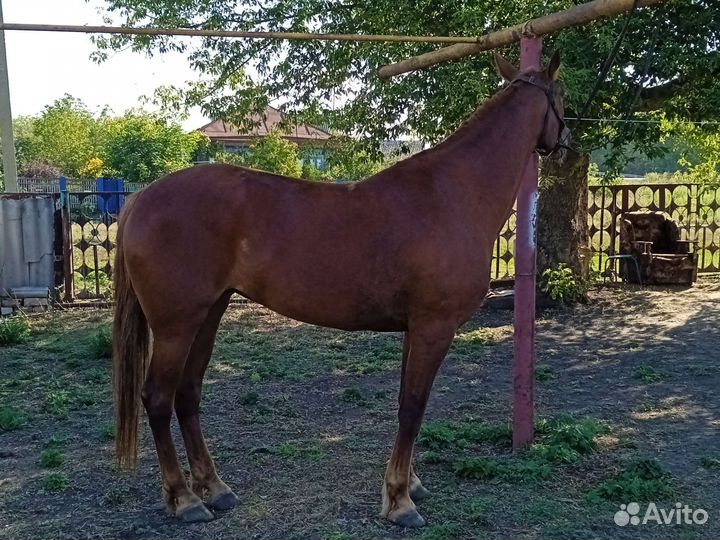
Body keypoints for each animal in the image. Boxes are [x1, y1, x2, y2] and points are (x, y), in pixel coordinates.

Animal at [112, 52, 566, 528]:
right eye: (562, 96)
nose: (566, 140)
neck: (452, 193)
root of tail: (141, 199)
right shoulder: (434, 327)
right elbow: (413, 406)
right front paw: (400, 501)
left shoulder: (414, 329)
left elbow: (406, 404)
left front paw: (409, 484)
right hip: (175, 326)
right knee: (158, 399)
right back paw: (184, 499)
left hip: (208, 315)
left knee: (188, 394)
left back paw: (214, 488)